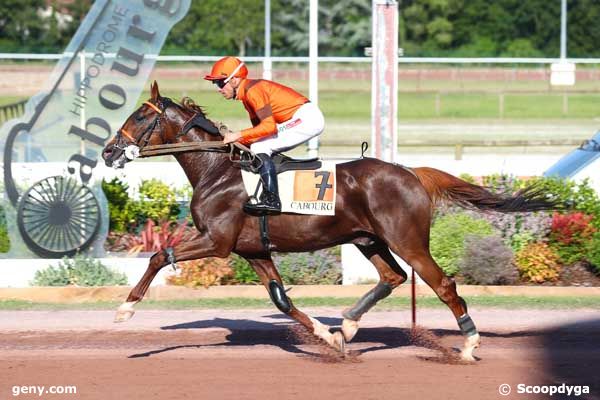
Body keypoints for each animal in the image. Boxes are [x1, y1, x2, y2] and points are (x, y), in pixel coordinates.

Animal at [102, 83, 556, 360]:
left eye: (139, 117)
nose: (108, 152)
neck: (219, 171)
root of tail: (411, 173)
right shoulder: (253, 250)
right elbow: (282, 301)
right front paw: (326, 335)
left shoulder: (217, 240)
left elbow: (159, 256)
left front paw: (124, 310)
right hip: (367, 239)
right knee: (392, 277)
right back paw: (349, 325)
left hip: (408, 240)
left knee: (443, 284)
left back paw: (468, 344)